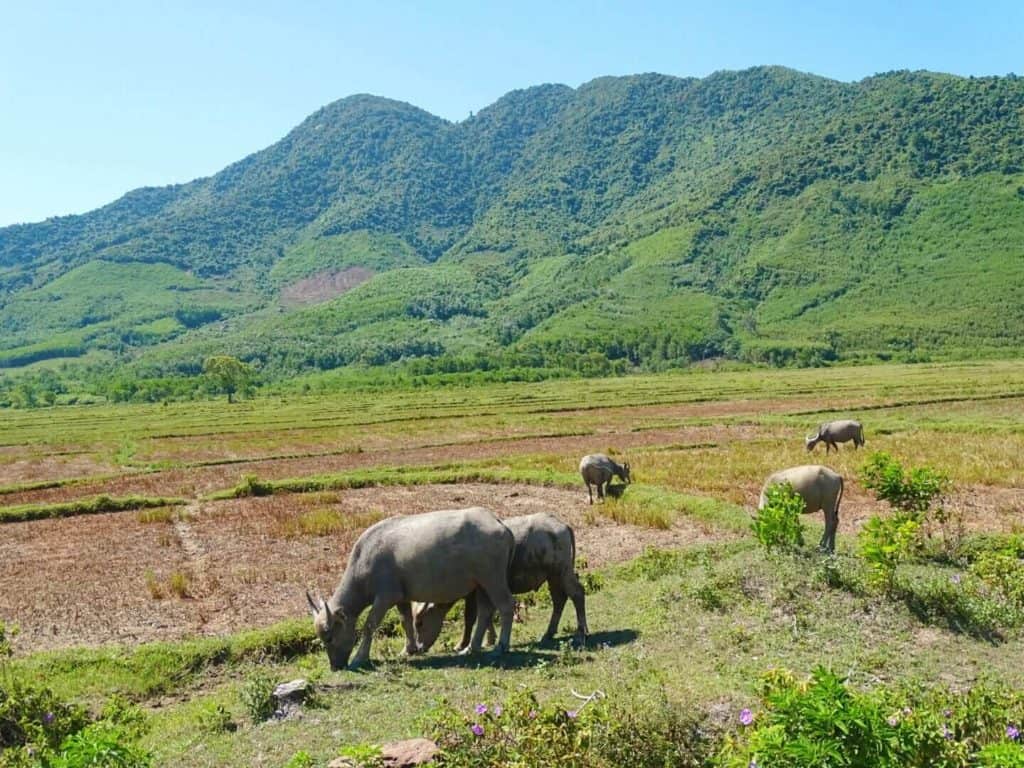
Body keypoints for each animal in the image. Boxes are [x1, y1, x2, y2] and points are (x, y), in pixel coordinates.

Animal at [301, 507, 512, 671]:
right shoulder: (401, 597)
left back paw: (500, 646)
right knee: (485, 611)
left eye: (329, 638)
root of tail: (500, 524)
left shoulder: (385, 597)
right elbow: (406, 621)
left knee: (506, 606)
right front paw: (409, 649)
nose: (335, 667)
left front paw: (359, 658)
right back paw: (472, 647)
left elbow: (370, 625)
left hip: (493, 580)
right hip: (482, 584)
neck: (364, 562)